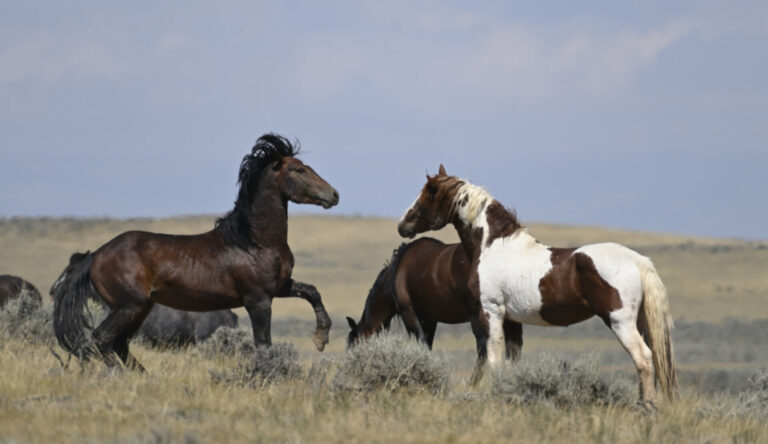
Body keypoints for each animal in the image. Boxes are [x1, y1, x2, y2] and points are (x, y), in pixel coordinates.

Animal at [53, 134, 340, 370]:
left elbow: (312, 292)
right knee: (103, 338)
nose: (334, 194)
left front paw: (320, 339)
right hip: (128, 306)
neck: (253, 242)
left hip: (138, 307)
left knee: (120, 344)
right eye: (298, 169)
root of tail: (97, 255)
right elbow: (263, 344)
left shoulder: (279, 287)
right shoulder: (258, 299)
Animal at [346, 236, 520, 360]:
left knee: (484, 347)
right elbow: (428, 345)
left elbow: (422, 343)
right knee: (513, 348)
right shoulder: (430, 319)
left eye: (353, 347)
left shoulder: (409, 314)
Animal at [400, 165, 676, 404]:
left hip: (620, 322)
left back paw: (648, 406)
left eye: (428, 193)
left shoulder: (491, 312)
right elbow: (511, 360)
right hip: (638, 322)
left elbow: (494, 359)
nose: (403, 225)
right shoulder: (511, 320)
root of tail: (639, 260)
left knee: (643, 358)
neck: (493, 246)